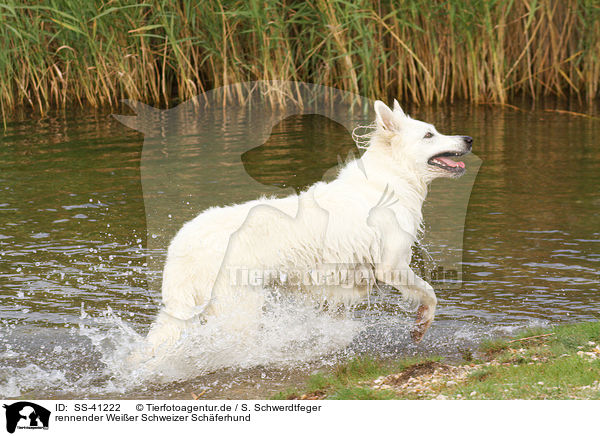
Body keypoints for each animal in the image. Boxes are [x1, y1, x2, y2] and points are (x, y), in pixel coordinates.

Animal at [143, 100, 472, 356]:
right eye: (429, 135)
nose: (468, 138)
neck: (390, 180)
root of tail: (182, 245)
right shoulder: (392, 265)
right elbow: (430, 293)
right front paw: (421, 326)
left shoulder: (343, 285)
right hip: (241, 305)